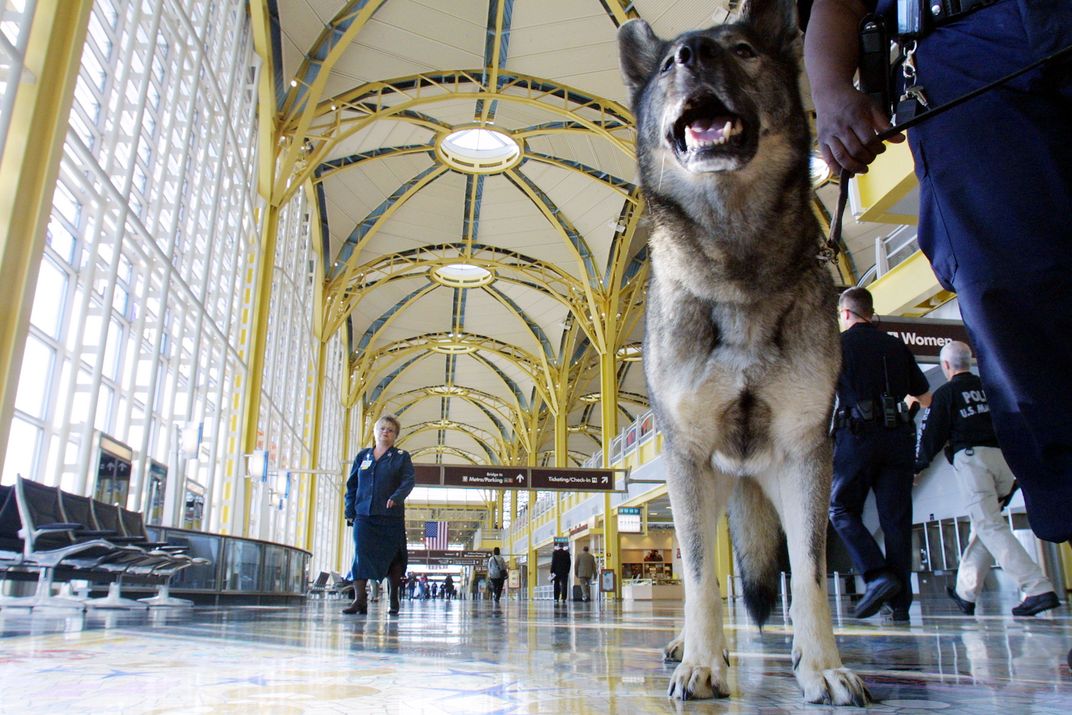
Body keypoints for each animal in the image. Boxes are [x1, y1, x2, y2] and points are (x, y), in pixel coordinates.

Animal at [621, 0, 870, 703]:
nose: (693, 53)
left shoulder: (808, 454)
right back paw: (687, 646)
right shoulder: (687, 460)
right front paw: (703, 662)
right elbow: (700, 579)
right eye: (670, 63)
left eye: (742, 49)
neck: (737, 264)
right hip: (707, 487)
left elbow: (810, 575)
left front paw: (824, 666)